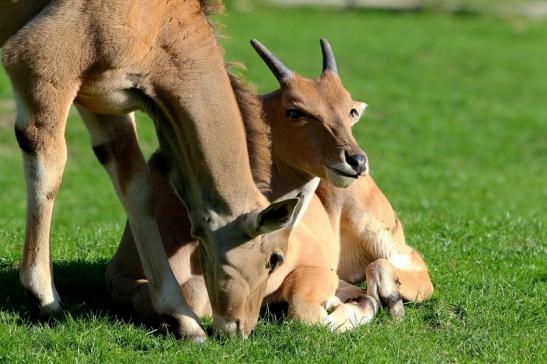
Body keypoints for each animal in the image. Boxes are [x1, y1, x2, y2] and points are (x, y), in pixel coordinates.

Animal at [0, 0, 310, 342]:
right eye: (274, 259)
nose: (241, 328)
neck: (162, 18)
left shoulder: (105, 103)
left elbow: (136, 190)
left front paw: (182, 319)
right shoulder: (38, 64)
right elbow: (50, 170)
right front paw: (44, 297)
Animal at [105, 38, 376, 334]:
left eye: (350, 110)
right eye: (295, 111)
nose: (356, 161)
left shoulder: (314, 268)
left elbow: (304, 312)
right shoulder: (118, 274)